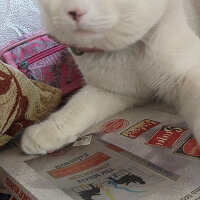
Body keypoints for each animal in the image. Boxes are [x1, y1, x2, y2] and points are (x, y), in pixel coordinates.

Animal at [21, 0, 200, 155]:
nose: (75, 11)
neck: (126, 53)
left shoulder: (189, 74)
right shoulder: (112, 91)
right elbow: (77, 107)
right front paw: (46, 130)